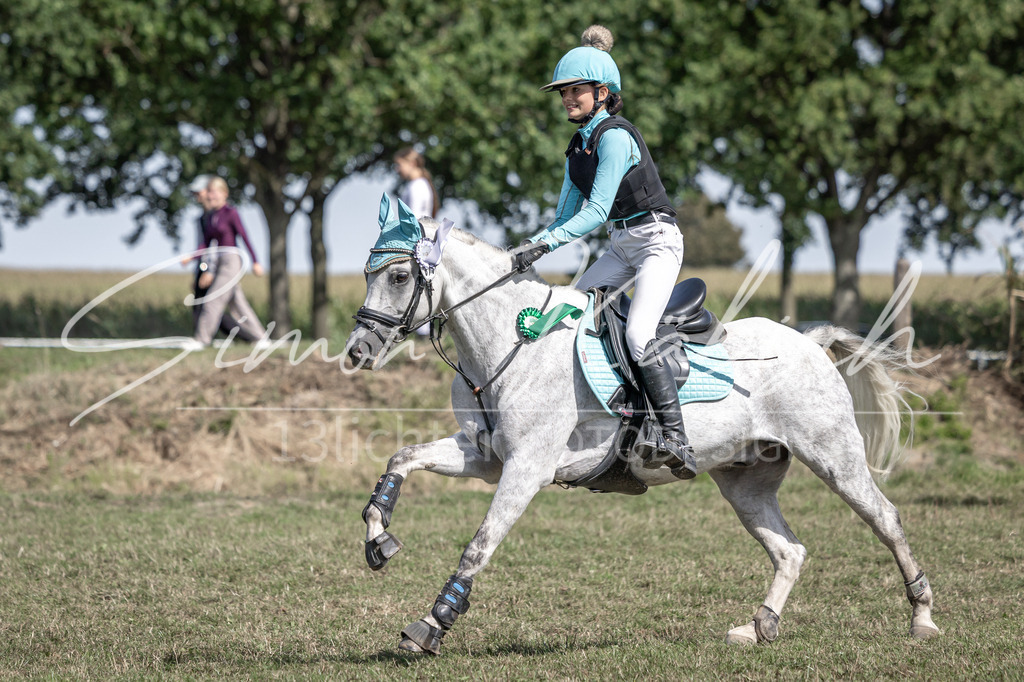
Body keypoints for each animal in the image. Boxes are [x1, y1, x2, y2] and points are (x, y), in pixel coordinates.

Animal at [345, 214, 939, 655]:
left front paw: (431, 625)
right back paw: (758, 626)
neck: (510, 341)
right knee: (789, 550)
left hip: (834, 458)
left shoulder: (527, 467)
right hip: (745, 482)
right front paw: (378, 539)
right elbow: (402, 458)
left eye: (398, 277)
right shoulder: (485, 457)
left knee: (886, 519)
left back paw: (923, 619)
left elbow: (479, 545)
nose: (356, 352)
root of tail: (809, 341)